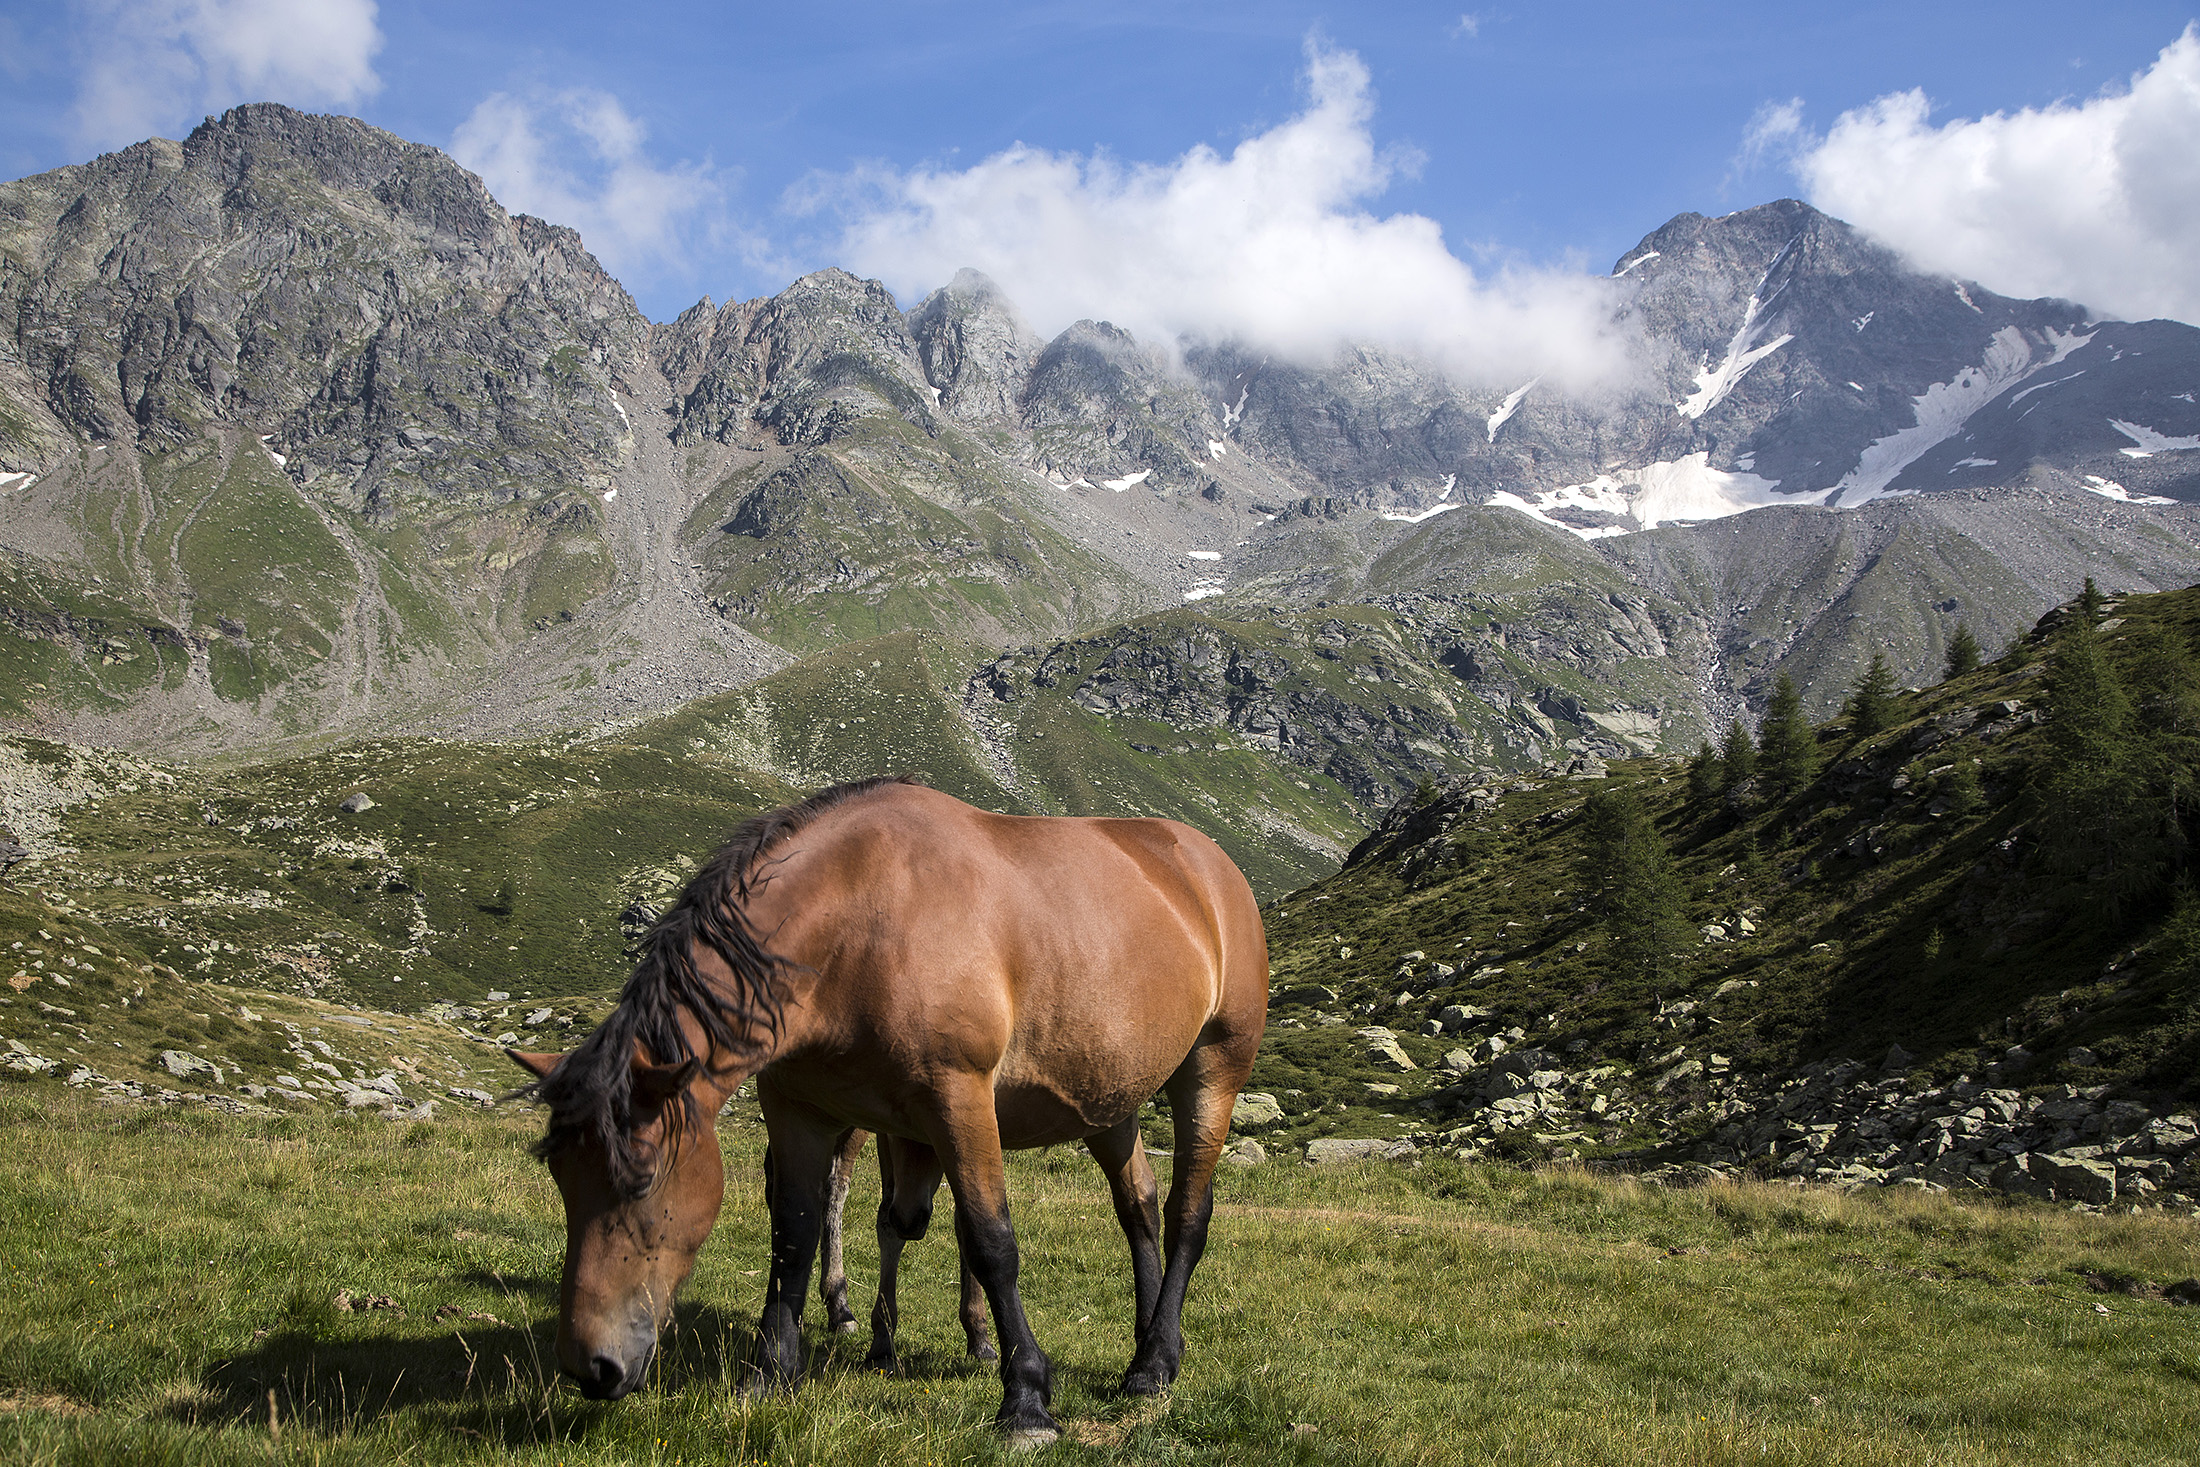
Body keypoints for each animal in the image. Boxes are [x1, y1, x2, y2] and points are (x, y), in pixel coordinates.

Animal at [509, 776, 1269, 1445]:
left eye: (641, 1183)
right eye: (562, 1183)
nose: (592, 1367)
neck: (860, 922)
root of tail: (1210, 864)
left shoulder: (958, 1098)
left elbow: (991, 1242)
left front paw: (1025, 1399)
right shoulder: (800, 1110)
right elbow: (794, 1232)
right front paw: (769, 1374)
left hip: (1212, 1072)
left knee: (1187, 1213)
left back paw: (1155, 1363)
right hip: (1110, 1100)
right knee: (1138, 1205)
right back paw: (1145, 1343)